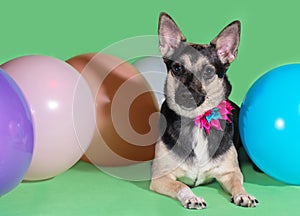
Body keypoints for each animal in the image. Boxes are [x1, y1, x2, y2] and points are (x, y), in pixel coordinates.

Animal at [150, 12, 258, 210]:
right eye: (177, 68)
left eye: (208, 71)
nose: (185, 95)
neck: (196, 121)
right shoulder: (161, 177)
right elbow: (182, 185)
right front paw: (191, 198)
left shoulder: (230, 173)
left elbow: (238, 183)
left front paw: (243, 195)